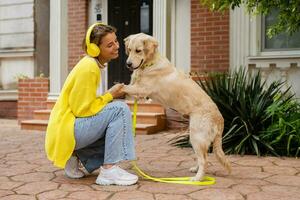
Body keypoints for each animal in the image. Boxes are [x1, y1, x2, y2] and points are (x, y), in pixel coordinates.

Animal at [123, 33, 231, 181]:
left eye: (138, 50)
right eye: (129, 49)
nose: (128, 64)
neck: (150, 64)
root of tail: (220, 118)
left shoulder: (142, 89)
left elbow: (121, 86)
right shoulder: (138, 91)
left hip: (196, 136)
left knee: (204, 160)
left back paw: (197, 178)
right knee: (204, 157)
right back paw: (195, 170)